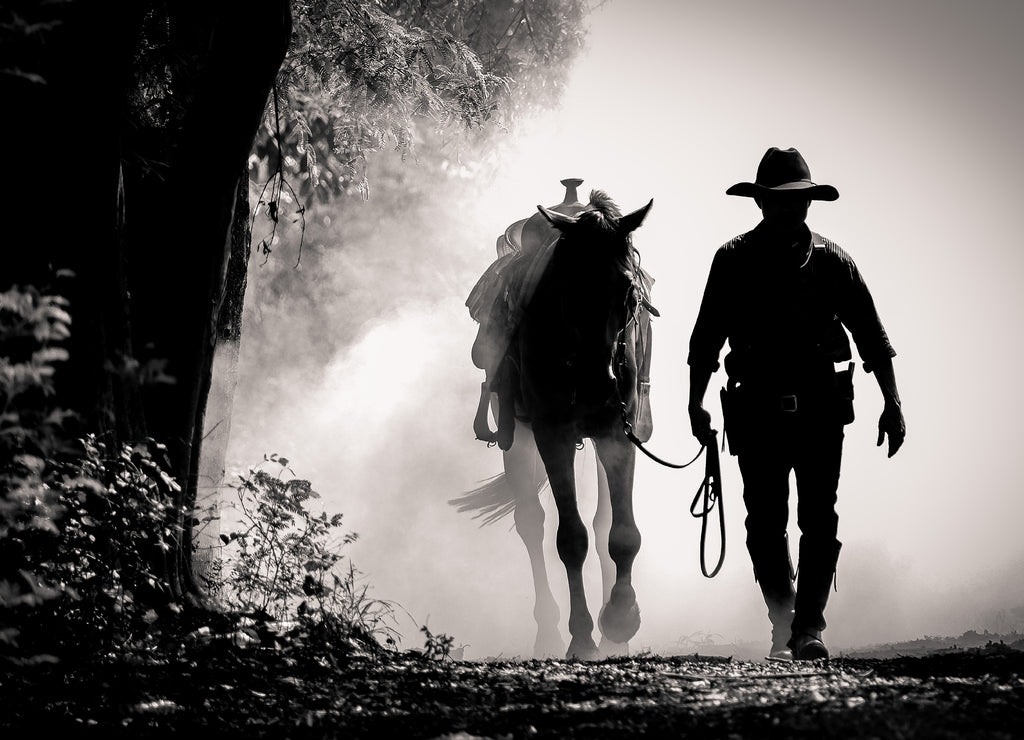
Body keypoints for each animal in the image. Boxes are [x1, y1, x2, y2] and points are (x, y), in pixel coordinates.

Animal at [458, 189, 655, 659]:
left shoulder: (617, 435)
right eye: (568, 285)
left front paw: (620, 622)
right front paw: (581, 637)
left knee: (600, 522)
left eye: (627, 287)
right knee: (532, 523)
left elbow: (620, 533)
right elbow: (571, 539)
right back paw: (548, 632)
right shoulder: (553, 436)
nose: (598, 382)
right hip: (517, 436)